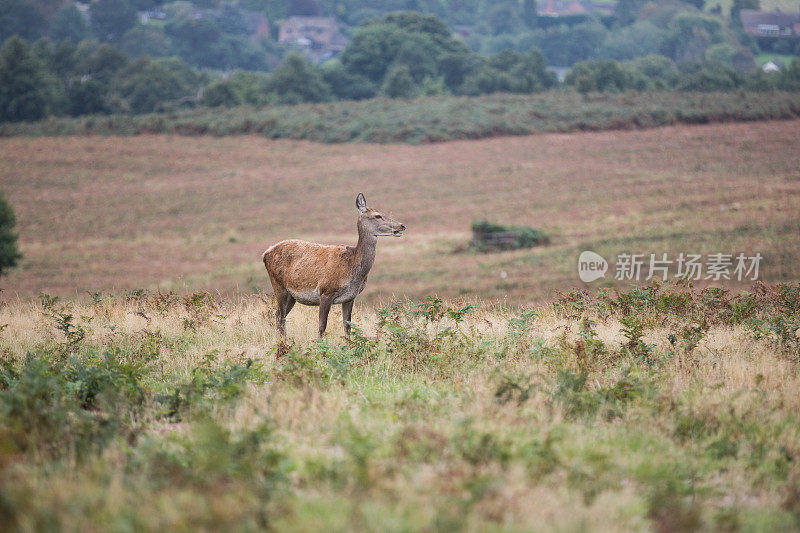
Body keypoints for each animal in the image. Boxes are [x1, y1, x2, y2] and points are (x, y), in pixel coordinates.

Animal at [264, 193, 406, 338]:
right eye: (378, 215)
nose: (402, 226)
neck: (353, 269)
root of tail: (266, 253)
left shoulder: (350, 297)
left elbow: (347, 327)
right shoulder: (326, 291)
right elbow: (322, 326)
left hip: (292, 295)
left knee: (278, 315)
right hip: (278, 286)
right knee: (280, 316)